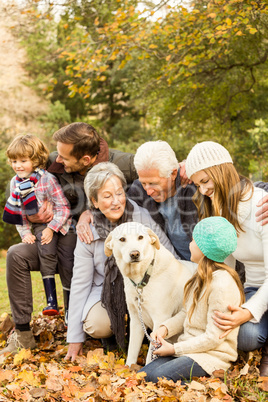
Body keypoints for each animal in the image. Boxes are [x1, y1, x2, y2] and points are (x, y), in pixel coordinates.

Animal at [103, 221, 196, 366]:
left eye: (140, 237)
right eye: (122, 239)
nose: (135, 254)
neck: (143, 277)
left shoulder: (160, 320)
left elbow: (150, 356)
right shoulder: (136, 320)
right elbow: (132, 352)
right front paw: (129, 369)